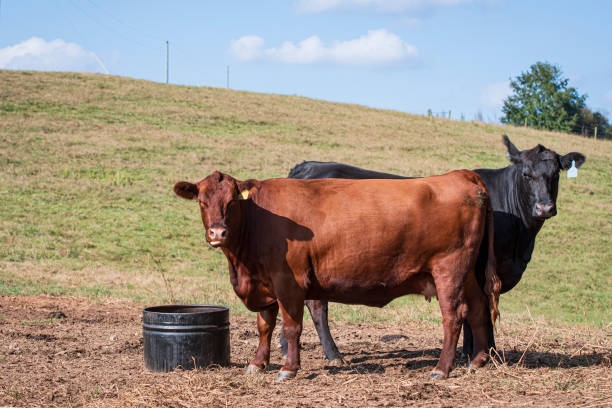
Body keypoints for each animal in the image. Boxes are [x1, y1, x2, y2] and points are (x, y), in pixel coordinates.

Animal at [173, 171, 502, 380]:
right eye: (202, 202)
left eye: (232, 202)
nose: (217, 233)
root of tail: (460, 174)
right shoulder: (264, 285)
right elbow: (264, 326)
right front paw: (257, 364)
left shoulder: (287, 282)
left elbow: (291, 327)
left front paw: (288, 369)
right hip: (467, 273)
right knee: (477, 309)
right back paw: (477, 362)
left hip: (449, 269)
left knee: (454, 316)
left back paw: (442, 369)